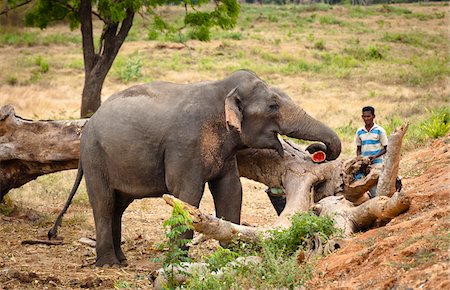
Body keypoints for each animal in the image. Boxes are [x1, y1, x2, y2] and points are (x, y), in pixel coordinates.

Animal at [47, 69, 342, 266]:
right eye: (272, 106)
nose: (319, 152)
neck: (221, 90)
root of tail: (88, 123)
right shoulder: (185, 146)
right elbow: (187, 195)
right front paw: (178, 262)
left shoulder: (226, 152)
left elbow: (231, 191)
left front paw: (231, 254)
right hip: (95, 157)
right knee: (104, 203)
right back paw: (109, 264)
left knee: (119, 206)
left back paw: (121, 260)